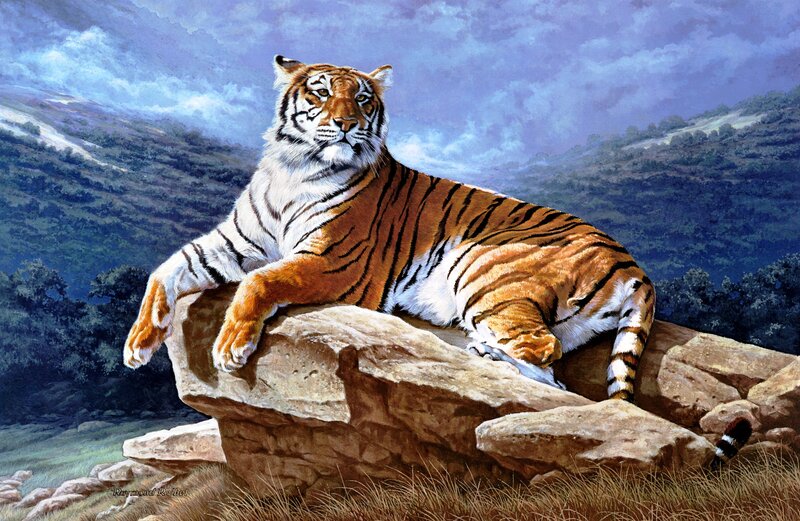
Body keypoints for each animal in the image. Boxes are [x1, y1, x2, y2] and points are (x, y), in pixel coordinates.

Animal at [123, 55, 657, 402]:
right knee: (552, 366)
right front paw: (138, 344)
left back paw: (486, 352)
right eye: (321, 90)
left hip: (485, 270)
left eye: (362, 98)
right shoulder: (232, 242)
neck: (293, 168)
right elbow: (165, 270)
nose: (345, 124)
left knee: (544, 351)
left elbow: (260, 279)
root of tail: (633, 266)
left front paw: (231, 347)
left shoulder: (334, 262)